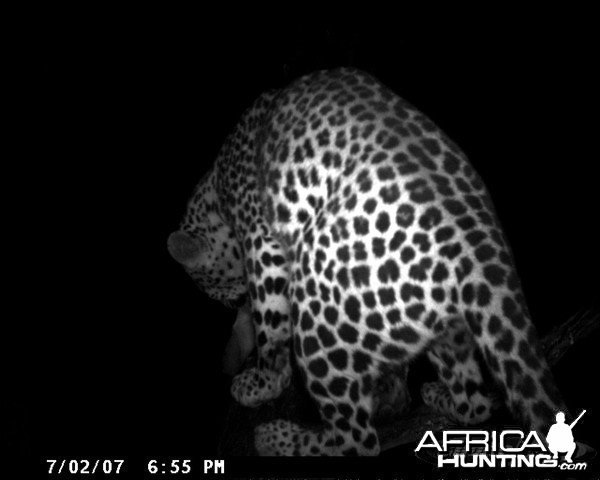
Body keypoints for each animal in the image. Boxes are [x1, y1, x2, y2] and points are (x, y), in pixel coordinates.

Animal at [168, 67, 568, 454]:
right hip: (443, 327)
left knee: (358, 440)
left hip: (320, 307)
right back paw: (436, 396)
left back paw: (278, 438)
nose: (235, 312)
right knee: (475, 404)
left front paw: (264, 380)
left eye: (231, 298)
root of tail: (478, 244)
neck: (217, 186)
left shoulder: (261, 238)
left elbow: (270, 323)